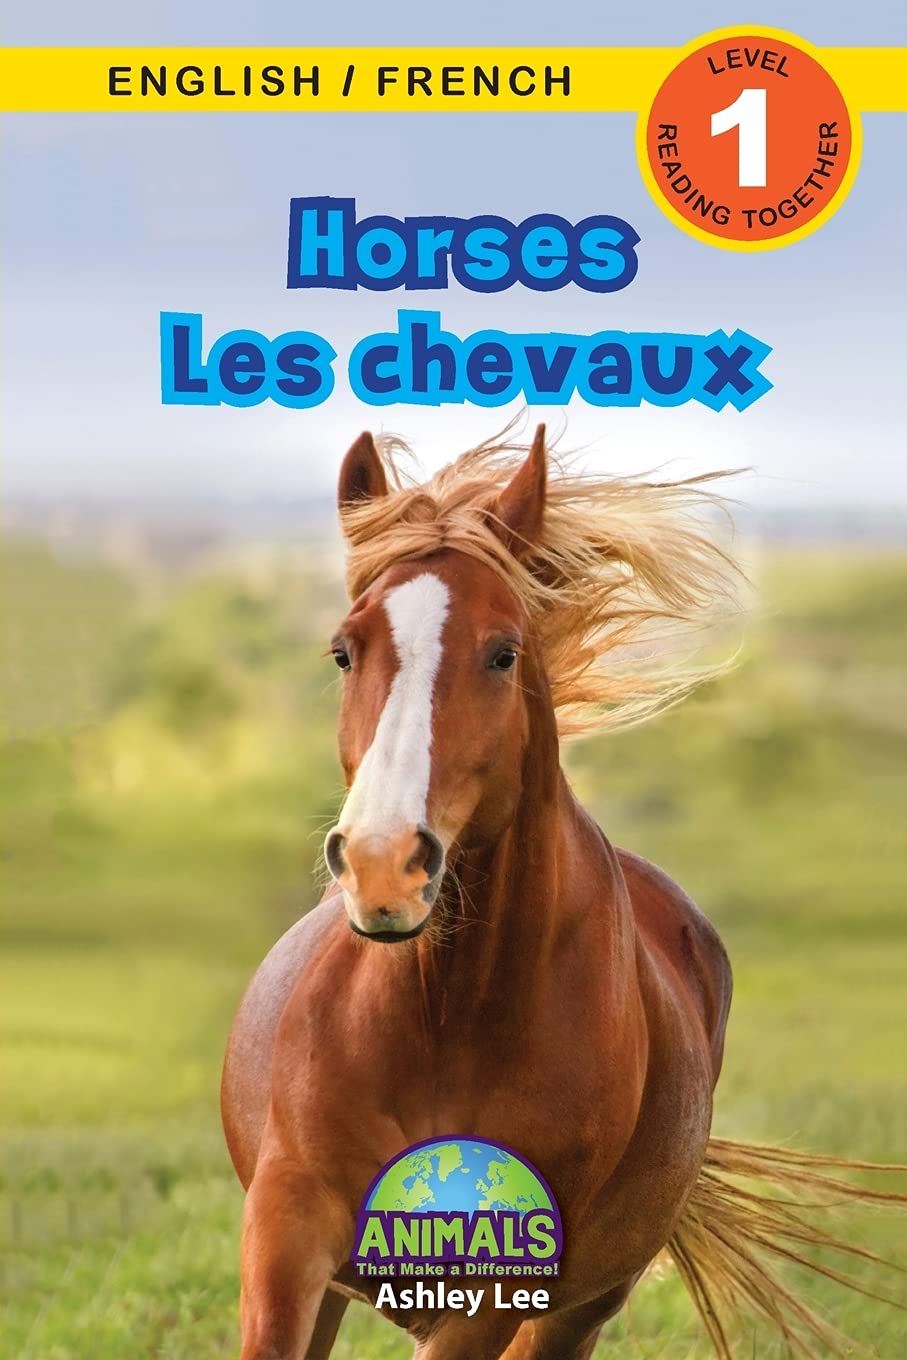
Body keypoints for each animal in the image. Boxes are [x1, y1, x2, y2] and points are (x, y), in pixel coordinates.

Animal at [222, 426, 903, 1360]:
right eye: (343, 650)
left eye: (503, 652)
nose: (382, 865)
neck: (441, 1023)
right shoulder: (287, 1236)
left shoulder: (493, 1292)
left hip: (578, 1306)